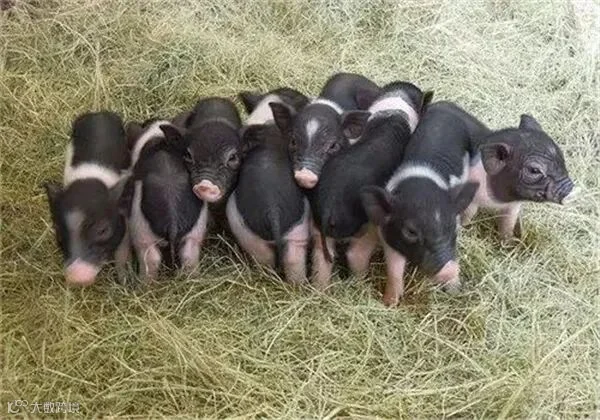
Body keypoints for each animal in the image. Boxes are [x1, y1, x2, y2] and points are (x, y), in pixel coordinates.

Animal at [44, 111, 131, 286]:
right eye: (58, 232)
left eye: (103, 230)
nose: (77, 278)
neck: (88, 179)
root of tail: (98, 112)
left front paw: (124, 280)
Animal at [309, 82, 434, 290]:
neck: (395, 103)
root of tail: (328, 207)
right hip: (357, 222)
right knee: (355, 253)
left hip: (318, 225)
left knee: (323, 257)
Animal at [361, 104, 480, 306]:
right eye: (410, 231)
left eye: (452, 227)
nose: (448, 270)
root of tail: (447, 105)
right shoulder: (388, 237)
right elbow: (394, 269)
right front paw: (389, 302)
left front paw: (455, 289)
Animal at [434, 102, 576, 240]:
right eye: (534, 170)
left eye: (562, 158)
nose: (569, 186)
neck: (499, 200)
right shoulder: (471, 195)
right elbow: (468, 214)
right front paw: (464, 228)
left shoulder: (513, 207)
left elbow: (508, 224)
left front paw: (509, 241)